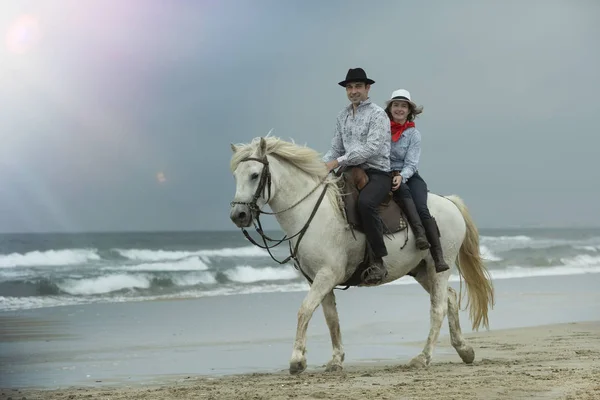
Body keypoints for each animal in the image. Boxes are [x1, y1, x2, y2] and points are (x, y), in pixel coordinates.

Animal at [227, 137, 494, 376]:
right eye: (236, 176)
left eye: (254, 175)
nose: (238, 215)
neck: (311, 212)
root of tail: (450, 203)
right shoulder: (317, 278)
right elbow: (331, 318)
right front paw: (335, 360)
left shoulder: (327, 274)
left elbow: (304, 310)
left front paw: (297, 361)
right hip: (421, 270)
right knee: (450, 298)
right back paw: (464, 350)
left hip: (438, 266)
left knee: (437, 308)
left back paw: (423, 358)